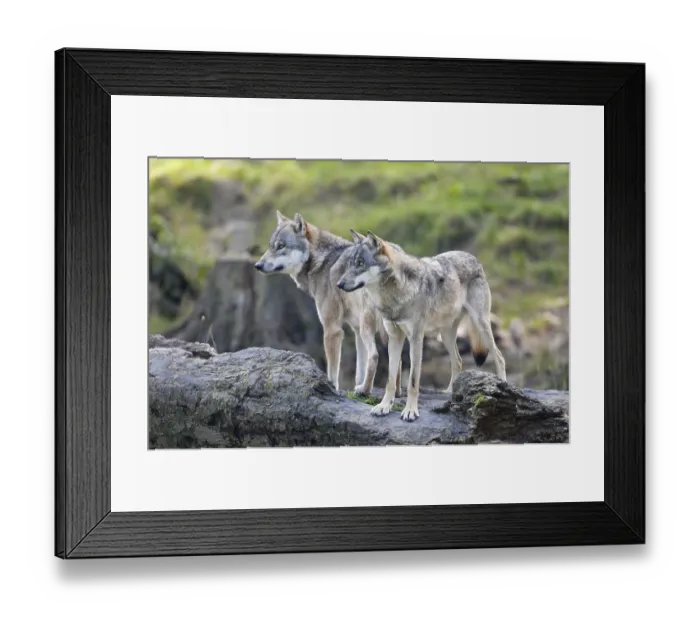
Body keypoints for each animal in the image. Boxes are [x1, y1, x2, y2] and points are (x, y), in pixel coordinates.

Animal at [254, 211, 402, 397]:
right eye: (270, 246)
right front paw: (357, 387)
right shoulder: (356, 330)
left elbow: (333, 369)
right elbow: (359, 370)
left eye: (281, 246)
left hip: (368, 328)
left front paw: (332, 387)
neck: (321, 262)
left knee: (375, 356)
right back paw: (395, 392)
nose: (257, 265)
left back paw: (366, 391)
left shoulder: (332, 329)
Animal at [337, 231, 506, 422]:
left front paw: (410, 411)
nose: (339, 284)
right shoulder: (394, 339)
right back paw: (450, 392)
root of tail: (472, 258)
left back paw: (503, 386)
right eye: (351, 264)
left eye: (360, 263)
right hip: (446, 336)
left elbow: (412, 381)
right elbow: (390, 379)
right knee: (458, 360)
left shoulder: (416, 339)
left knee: (499, 357)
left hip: (481, 324)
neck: (396, 294)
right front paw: (383, 406)